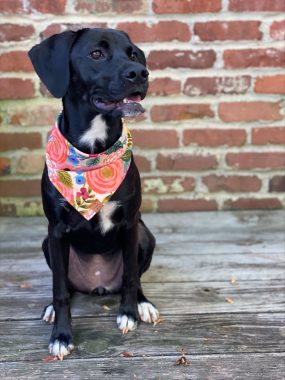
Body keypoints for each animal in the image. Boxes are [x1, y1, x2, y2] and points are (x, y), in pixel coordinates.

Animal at [28, 28, 159, 358]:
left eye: (133, 54)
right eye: (96, 54)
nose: (140, 73)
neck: (92, 152)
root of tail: (98, 285)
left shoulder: (130, 223)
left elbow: (130, 275)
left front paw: (129, 313)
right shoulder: (56, 229)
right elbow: (60, 290)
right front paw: (61, 335)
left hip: (144, 235)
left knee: (133, 275)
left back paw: (142, 304)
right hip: (48, 245)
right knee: (66, 285)